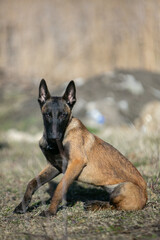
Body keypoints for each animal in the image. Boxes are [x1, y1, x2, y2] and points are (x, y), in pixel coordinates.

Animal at [13, 79, 148, 217]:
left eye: (63, 115)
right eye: (47, 115)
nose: (53, 137)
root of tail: (146, 197)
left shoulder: (76, 163)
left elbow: (59, 188)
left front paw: (51, 211)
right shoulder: (54, 166)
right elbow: (32, 183)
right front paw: (22, 206)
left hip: (122, 188)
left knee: (115, 206)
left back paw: (95, 205)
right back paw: (94, 204)